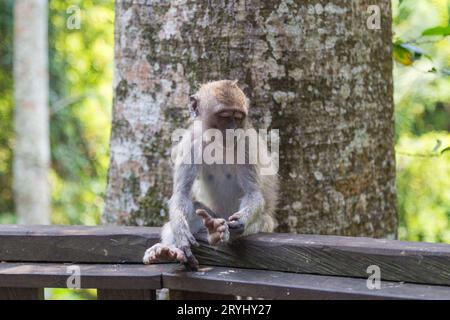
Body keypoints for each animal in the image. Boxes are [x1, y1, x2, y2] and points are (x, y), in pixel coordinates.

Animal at [143, 79, 278, 270]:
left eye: (238, 117)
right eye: (224, 116)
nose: (232, 129)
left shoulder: (246, 144)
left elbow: (253, 193)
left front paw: (241, 220)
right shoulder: (190, 143)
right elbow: (182, 193)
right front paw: (181, 233)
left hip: (265, 224)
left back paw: (217, 232)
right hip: (213, 215)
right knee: (195, 210)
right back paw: (167, 250)